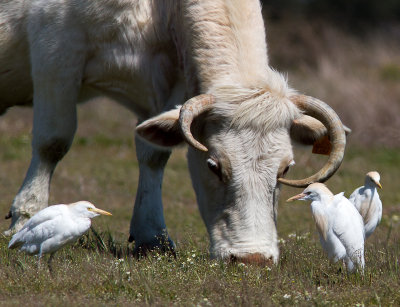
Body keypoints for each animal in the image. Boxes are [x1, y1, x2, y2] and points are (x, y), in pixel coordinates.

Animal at [0, 0, 346, 264]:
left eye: (285, 169)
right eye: (214, 166)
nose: (253, 259)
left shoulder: (174, 80)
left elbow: (154, 154)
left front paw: (153, 236)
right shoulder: (56, 48)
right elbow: (53, 141)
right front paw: (27, 218)